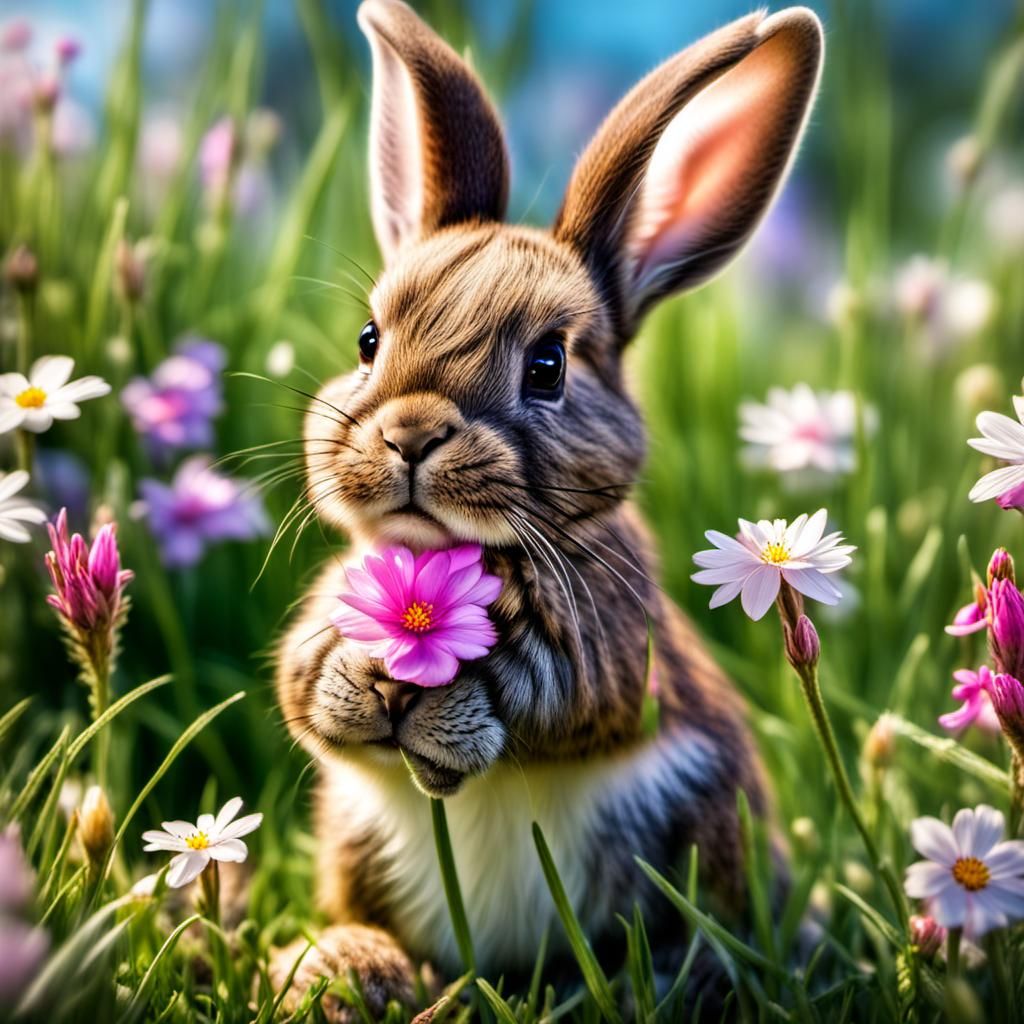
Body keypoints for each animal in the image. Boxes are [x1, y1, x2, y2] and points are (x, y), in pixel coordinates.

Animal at [272, 0, 823, 1018]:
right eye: (369, 340)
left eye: (549, 365)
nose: (410, 435)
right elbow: (301, 676)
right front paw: (359, 682)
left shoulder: (612, 644)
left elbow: (556, 691)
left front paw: (438, 706)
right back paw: (348, 968)